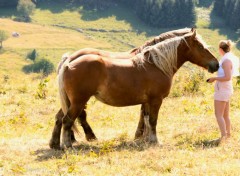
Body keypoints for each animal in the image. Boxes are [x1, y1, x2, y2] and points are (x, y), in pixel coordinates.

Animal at [49, 28, 218, 148]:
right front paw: (154, 141)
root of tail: (69, 63)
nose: (215, 64)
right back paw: (68, 145)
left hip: (71, 102)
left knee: (60, 118)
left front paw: (145, 139)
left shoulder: (147, 101)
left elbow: (146, 119)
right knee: (68, 120)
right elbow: (153, 120)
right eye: (200, 46)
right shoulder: (156, 100)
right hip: (78, 101)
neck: (155, 64)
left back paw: (55, 144)